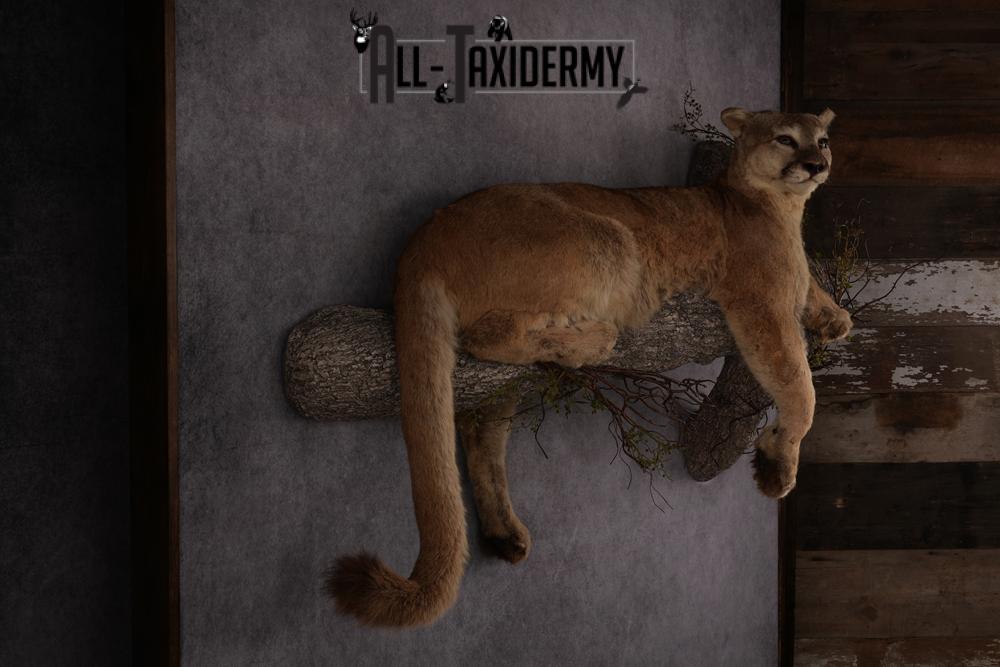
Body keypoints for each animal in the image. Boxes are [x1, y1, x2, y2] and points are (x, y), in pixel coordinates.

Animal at [327, 107, 851, 627]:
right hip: (608, 239)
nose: (817, 165)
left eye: (822, 140)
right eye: (785, 139)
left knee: (480, 427)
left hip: (507, 378)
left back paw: (503, 532)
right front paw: (778, 465)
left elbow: (812, 291)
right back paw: (592, 340)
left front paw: (834, 317)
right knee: (487, 336)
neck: (782, 207)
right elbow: (801, 388)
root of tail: (424, 237)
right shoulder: (762, 305)